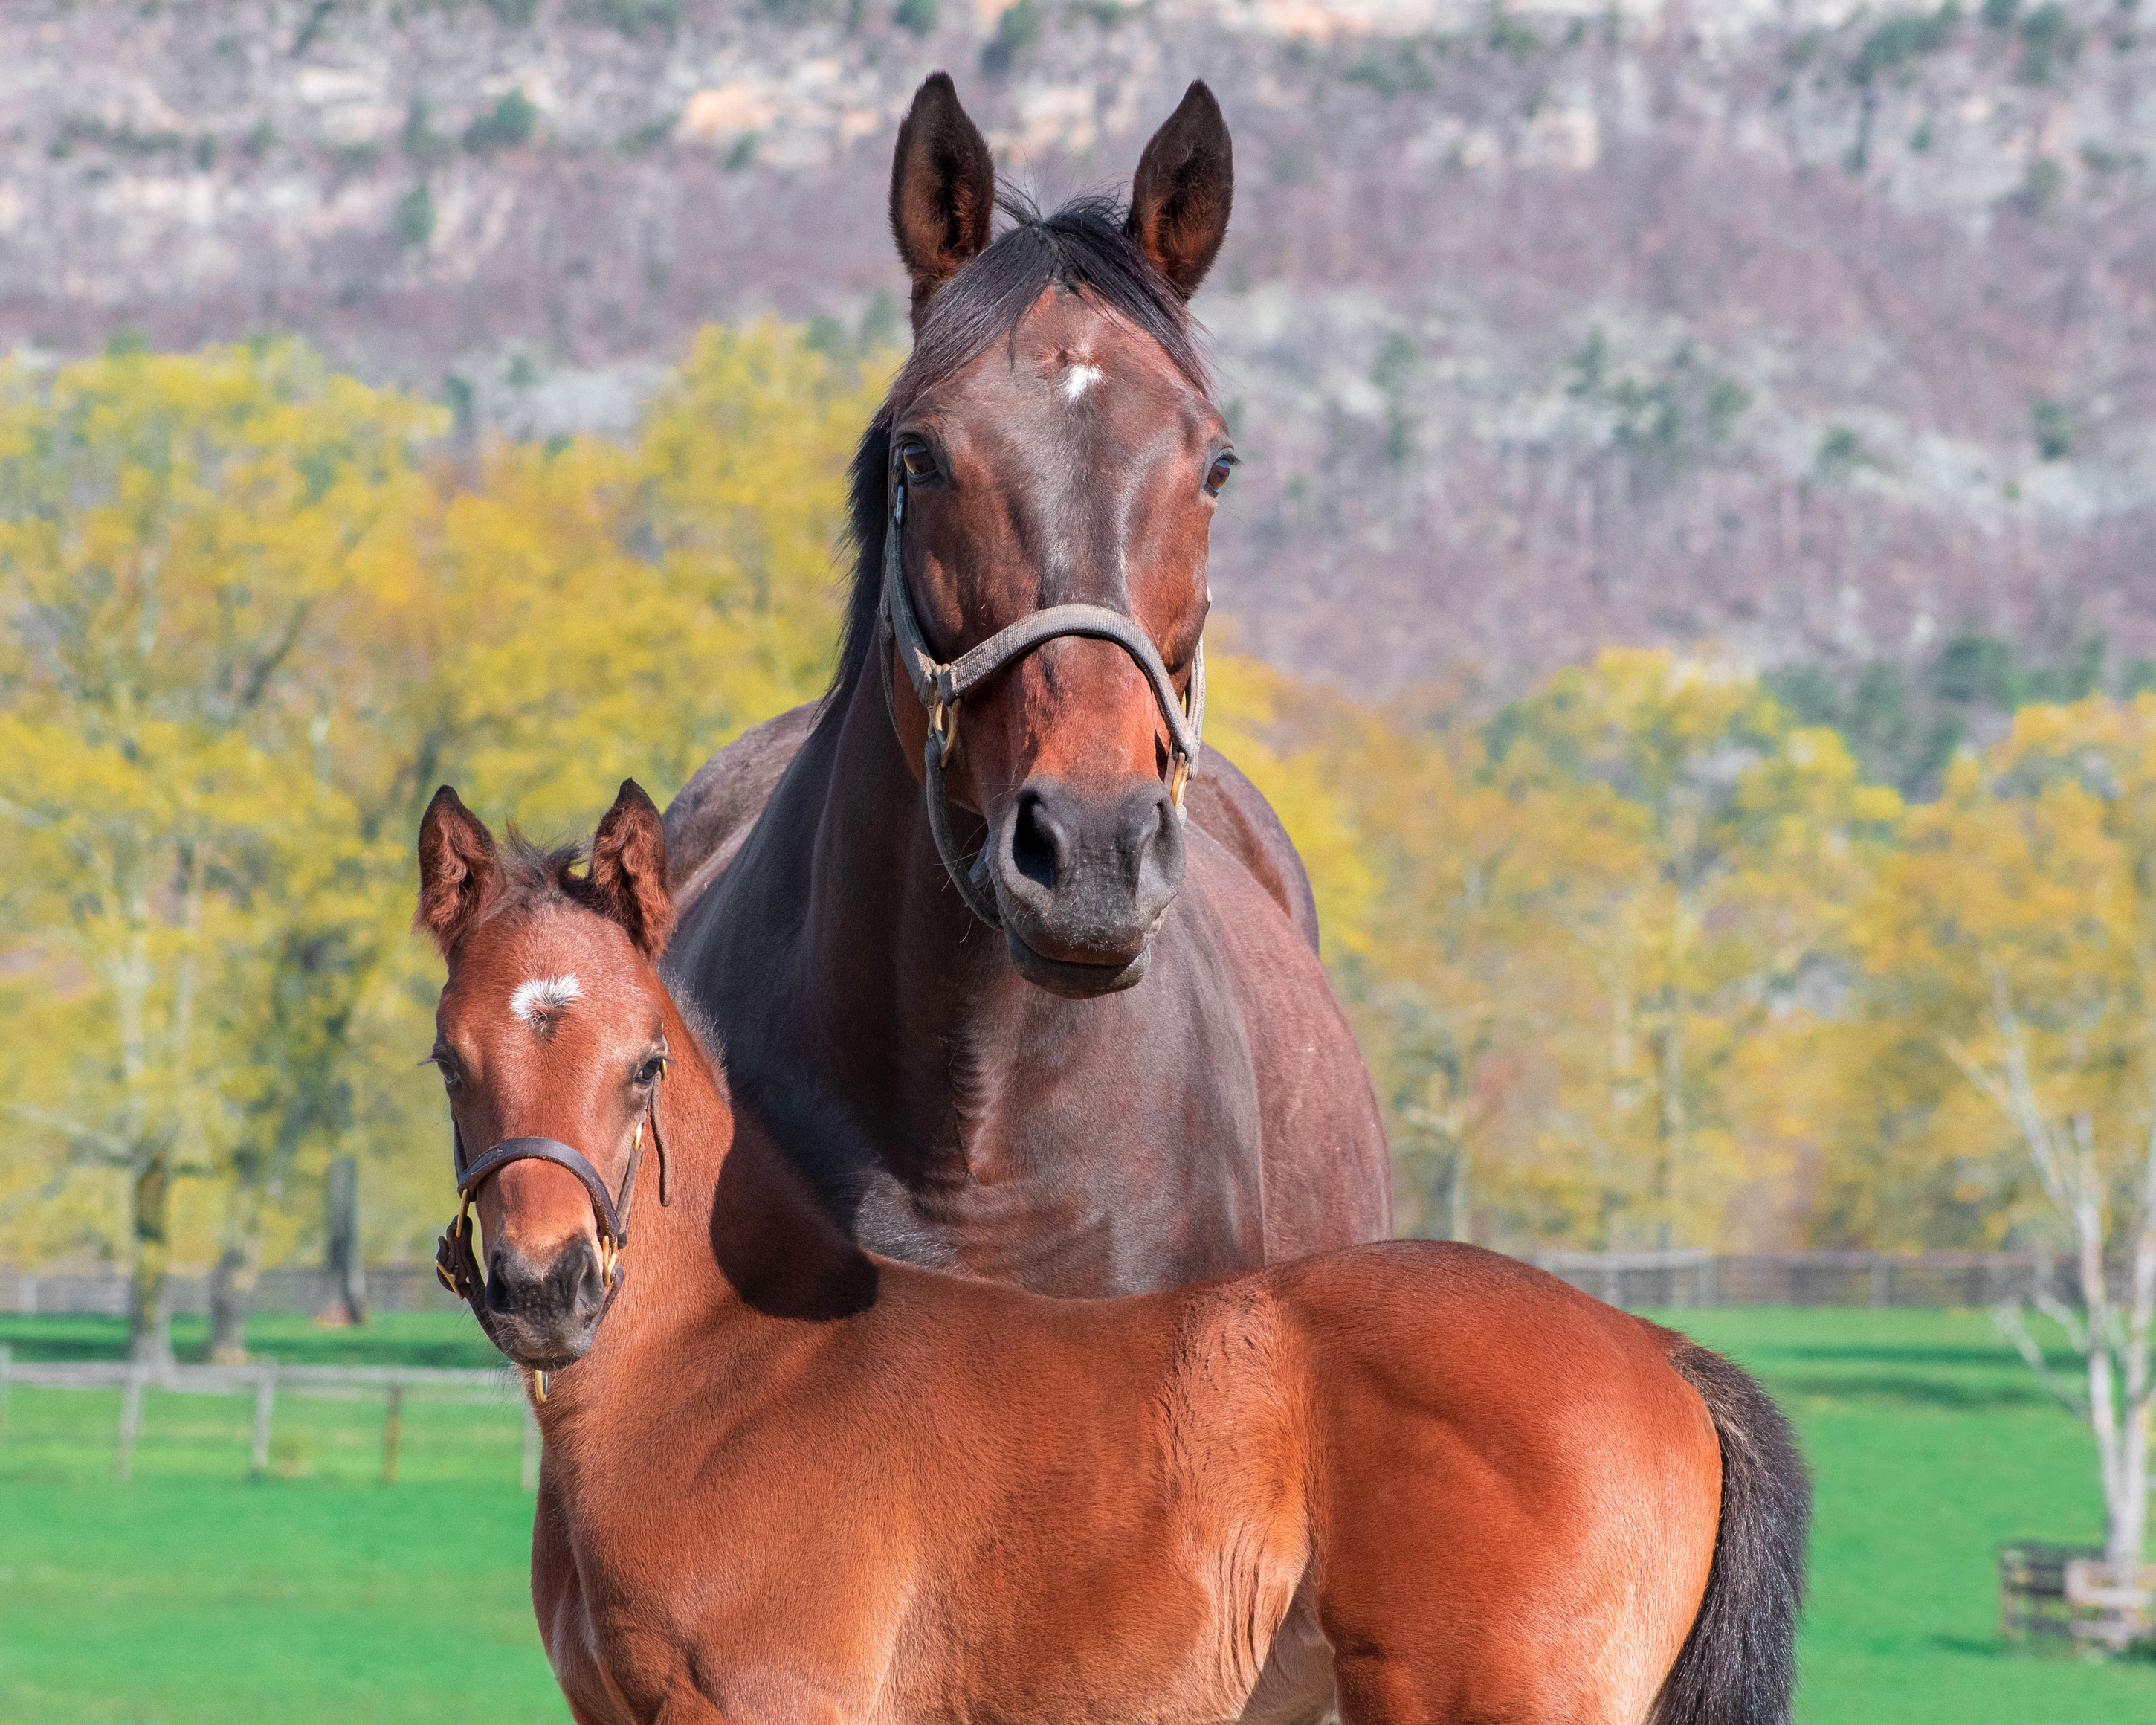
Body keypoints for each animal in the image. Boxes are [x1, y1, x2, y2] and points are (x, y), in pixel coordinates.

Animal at [416, 780, 1802, 1725]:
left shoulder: (768, 1705)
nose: (544, 1290)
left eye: (645, 1061)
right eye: (448, 1060)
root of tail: (1660, 1353)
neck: (731, 1374)